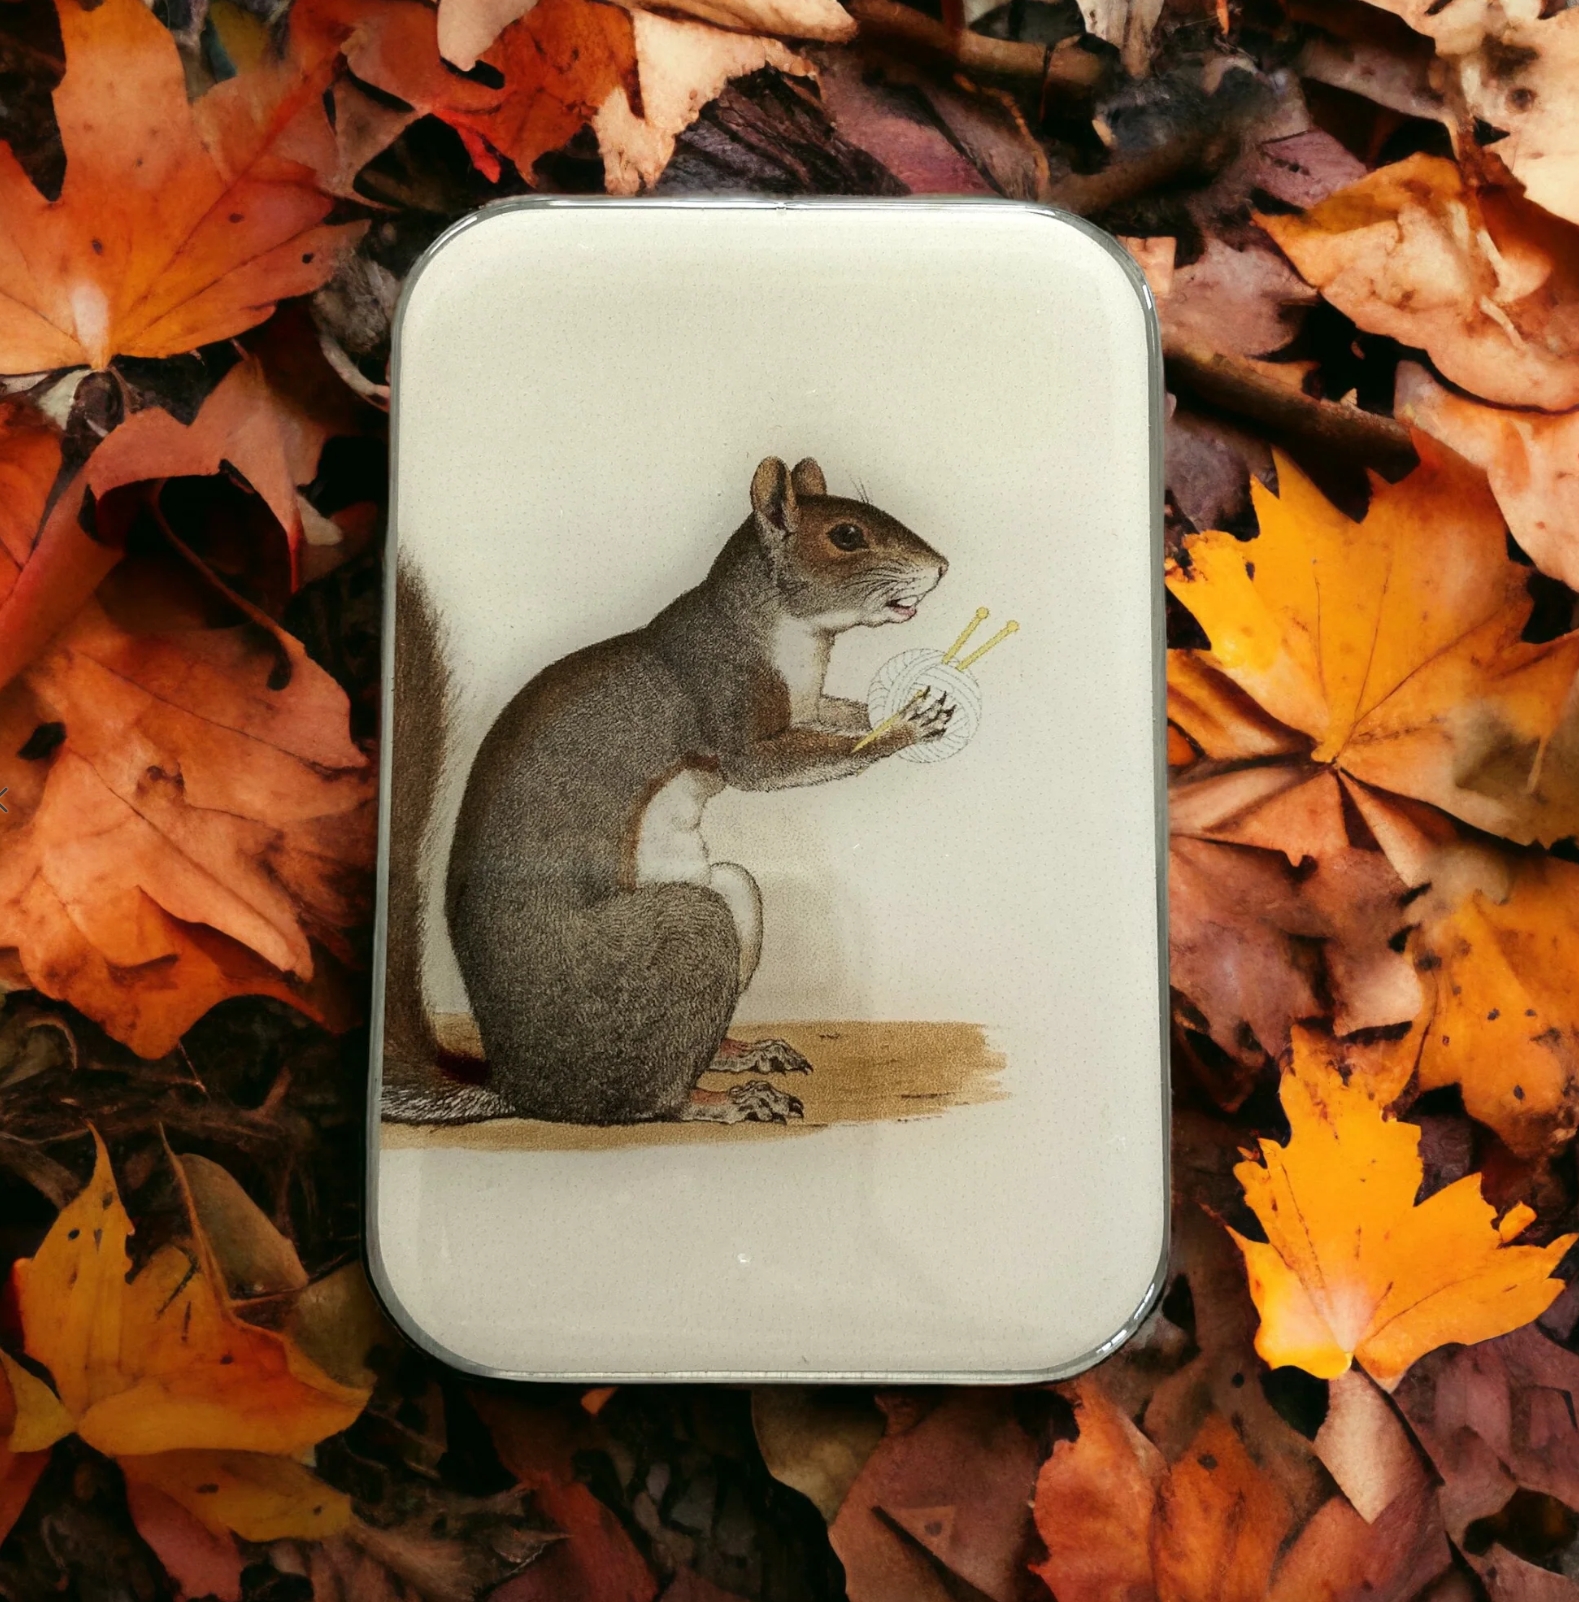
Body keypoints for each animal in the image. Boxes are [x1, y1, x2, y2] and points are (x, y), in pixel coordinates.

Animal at [382, 456, 950, 1126]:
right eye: (846, 536)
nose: (941, 567)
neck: (791, 636)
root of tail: (521, 1086)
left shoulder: (808, 703)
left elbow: (839, 715)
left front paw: (902, 706)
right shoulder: (725, 699)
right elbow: (778, 763)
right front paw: (904, 727)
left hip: (732, 893)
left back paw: (744, 1053)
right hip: (688, 933)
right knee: (656, 1099)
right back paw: (729, 1100)